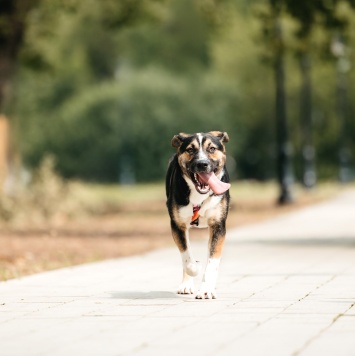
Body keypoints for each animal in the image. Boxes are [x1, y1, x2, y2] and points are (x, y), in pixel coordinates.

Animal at [166, 131, 231, 298]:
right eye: (190, 149)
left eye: (212, 148)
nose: (202, 164)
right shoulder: (177, 225)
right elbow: (187, 258)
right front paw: (196, 267)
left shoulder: (218, 225)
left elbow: (212, 261)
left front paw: (207, 289)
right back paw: (187, 285)